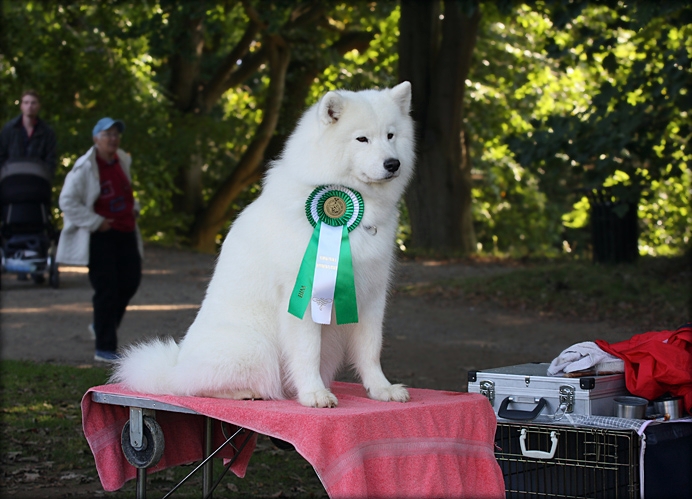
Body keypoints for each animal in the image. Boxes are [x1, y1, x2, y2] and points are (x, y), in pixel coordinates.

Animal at [112, 82, 416, 408]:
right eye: (362, 139)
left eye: (390, 135)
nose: (393, 164)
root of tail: (174, 366)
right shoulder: (304, 298)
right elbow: (308, 351)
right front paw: (314, 393)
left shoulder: (370, 296)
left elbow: (371, 350)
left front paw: (381, 389)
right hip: (255, 347)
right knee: (191, 386)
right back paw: (245, 392)